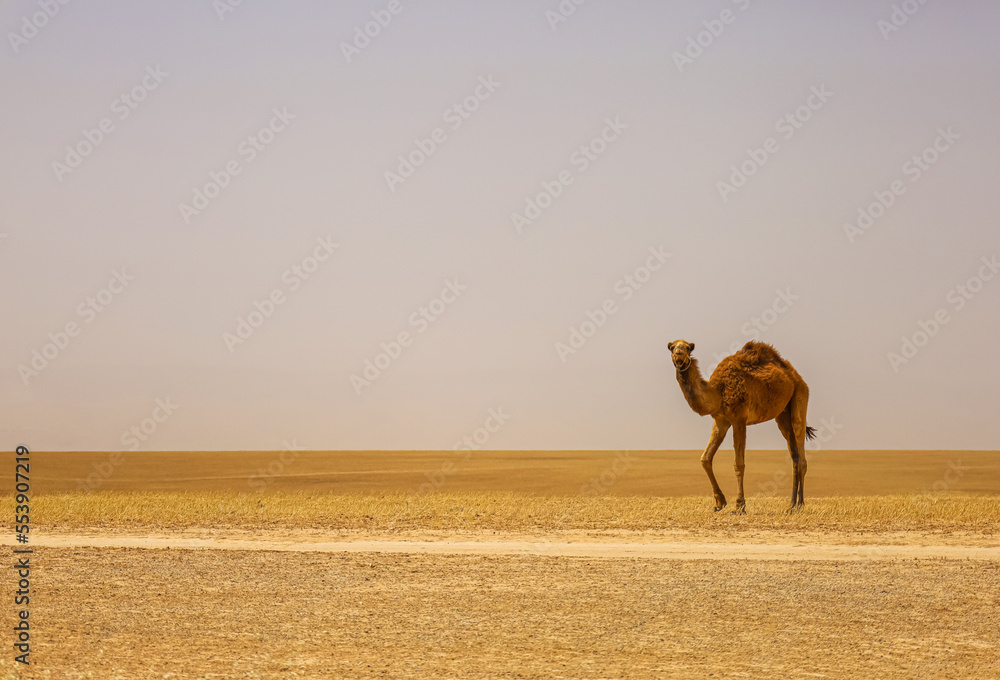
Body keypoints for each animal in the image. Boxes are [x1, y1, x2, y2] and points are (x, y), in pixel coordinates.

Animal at [668, 338, 816, 512]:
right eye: (672, 348)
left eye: (687, 348)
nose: (679, 355)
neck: (717, 390)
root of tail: (796, 376)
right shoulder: (721, 420)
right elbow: (705, 458)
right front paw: (720, 502)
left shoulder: (739, 419)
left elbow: (739, 464)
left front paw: (740, 505)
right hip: (783, 414)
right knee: (794, 455)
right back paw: (791, 504)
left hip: (800, 395)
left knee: (800, 443)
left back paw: (800, 504)